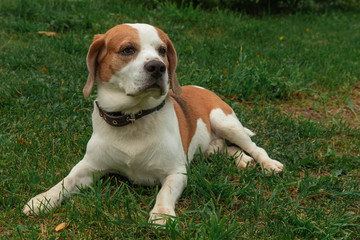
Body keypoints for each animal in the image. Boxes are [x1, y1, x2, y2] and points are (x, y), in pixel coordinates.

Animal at [23, 23, 284, 224]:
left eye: (163, 50)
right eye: (128, 49)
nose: (159, 66)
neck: (133, 118)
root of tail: (202, 88)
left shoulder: (176, 172)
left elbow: (165, 193)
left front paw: (161, 215)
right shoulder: (89, 166)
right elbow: (66, 180)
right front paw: (43, 199)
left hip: (225, 122)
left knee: (255, 147)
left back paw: (267, 164)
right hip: (211, 145)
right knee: (222, 148)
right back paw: (242, 160)